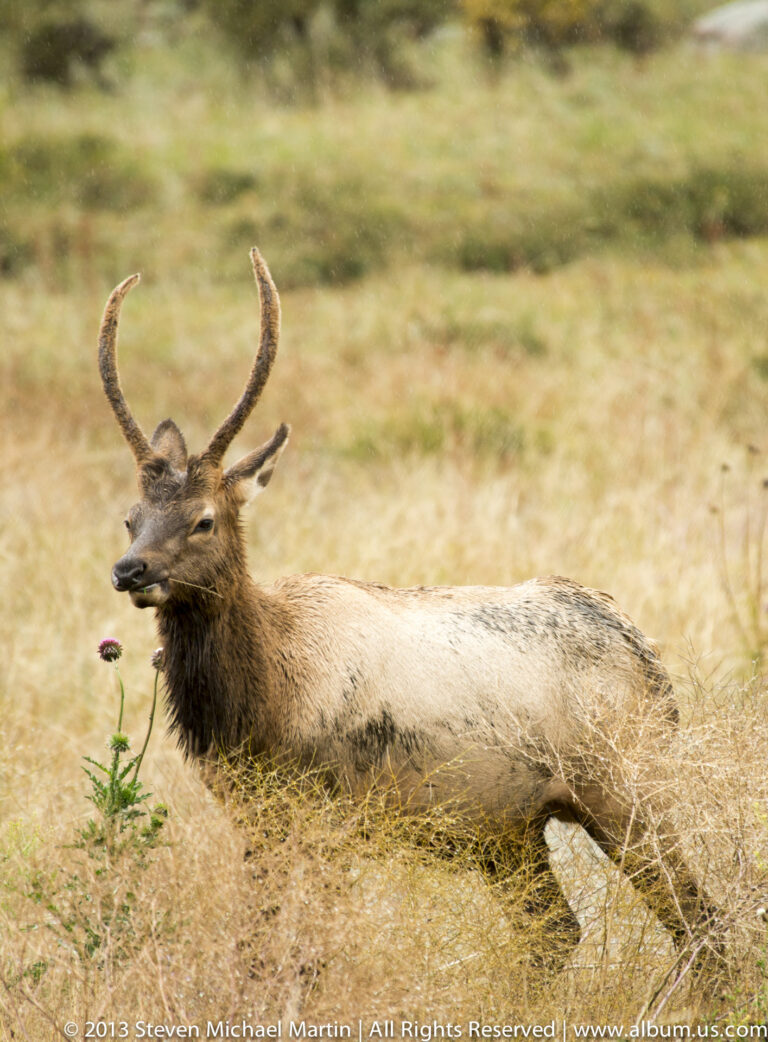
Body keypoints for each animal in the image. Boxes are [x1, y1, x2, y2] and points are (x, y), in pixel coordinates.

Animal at [99, 247, 721, 975]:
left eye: (203, 519)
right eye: (130, 517)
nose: (131, 570)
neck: (262, 701)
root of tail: (648, 657)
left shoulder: (327, 813)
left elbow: (305, 954)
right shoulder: (259, 816)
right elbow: (257, 946)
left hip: (627, 783)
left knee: (700, 921)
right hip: (511, 827)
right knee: (555, 932)